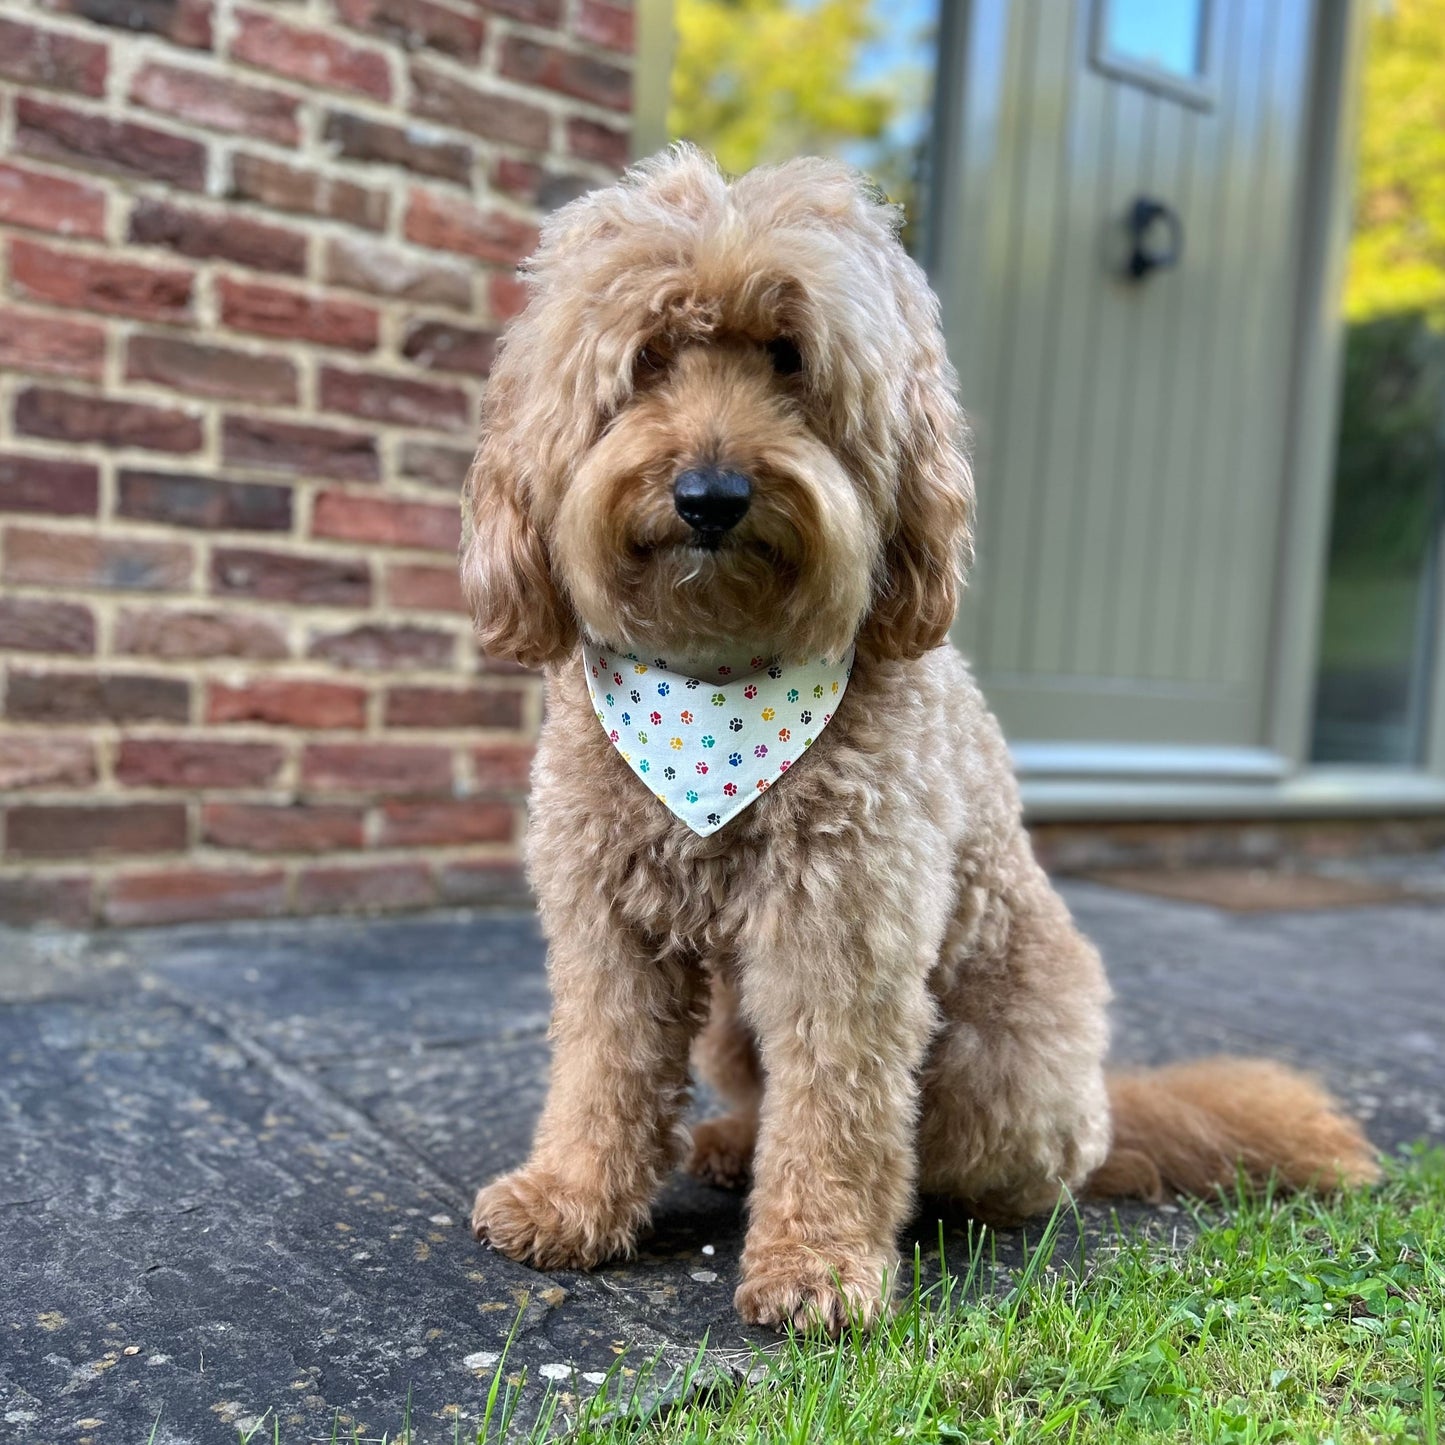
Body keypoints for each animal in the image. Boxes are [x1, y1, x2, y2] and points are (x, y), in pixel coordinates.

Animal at [459, 146, 1375, 1329]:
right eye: (649, 357)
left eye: (790, 357)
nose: (711, 492)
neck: (712, 678)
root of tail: (1105, 1108)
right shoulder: (608, 922)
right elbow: (602, 1068)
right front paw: (572, 1198)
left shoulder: (844, 924)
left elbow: (837, 1103)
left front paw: (817, 1261)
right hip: (732, 1017)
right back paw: (726, 1139)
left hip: (996, 1064)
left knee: (971, 1163)